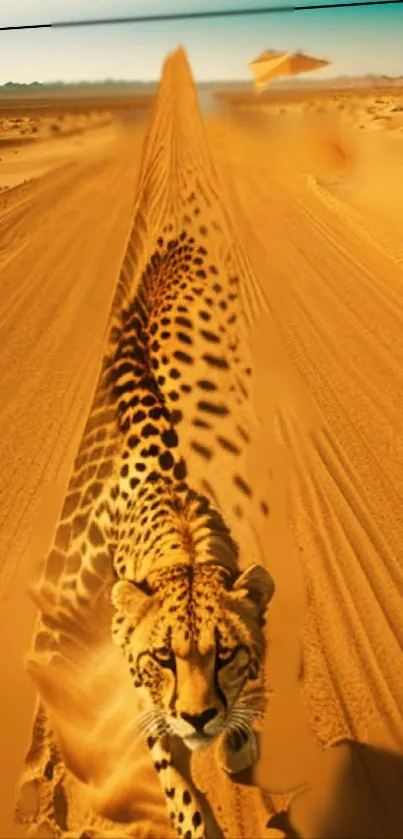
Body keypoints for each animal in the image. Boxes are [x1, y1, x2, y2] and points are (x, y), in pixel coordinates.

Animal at [15, 47, 274, 839]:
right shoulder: (149, 714)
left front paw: (238, 745)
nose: (198, 716)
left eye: (226, 653)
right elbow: (179, 790)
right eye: (163, 657)